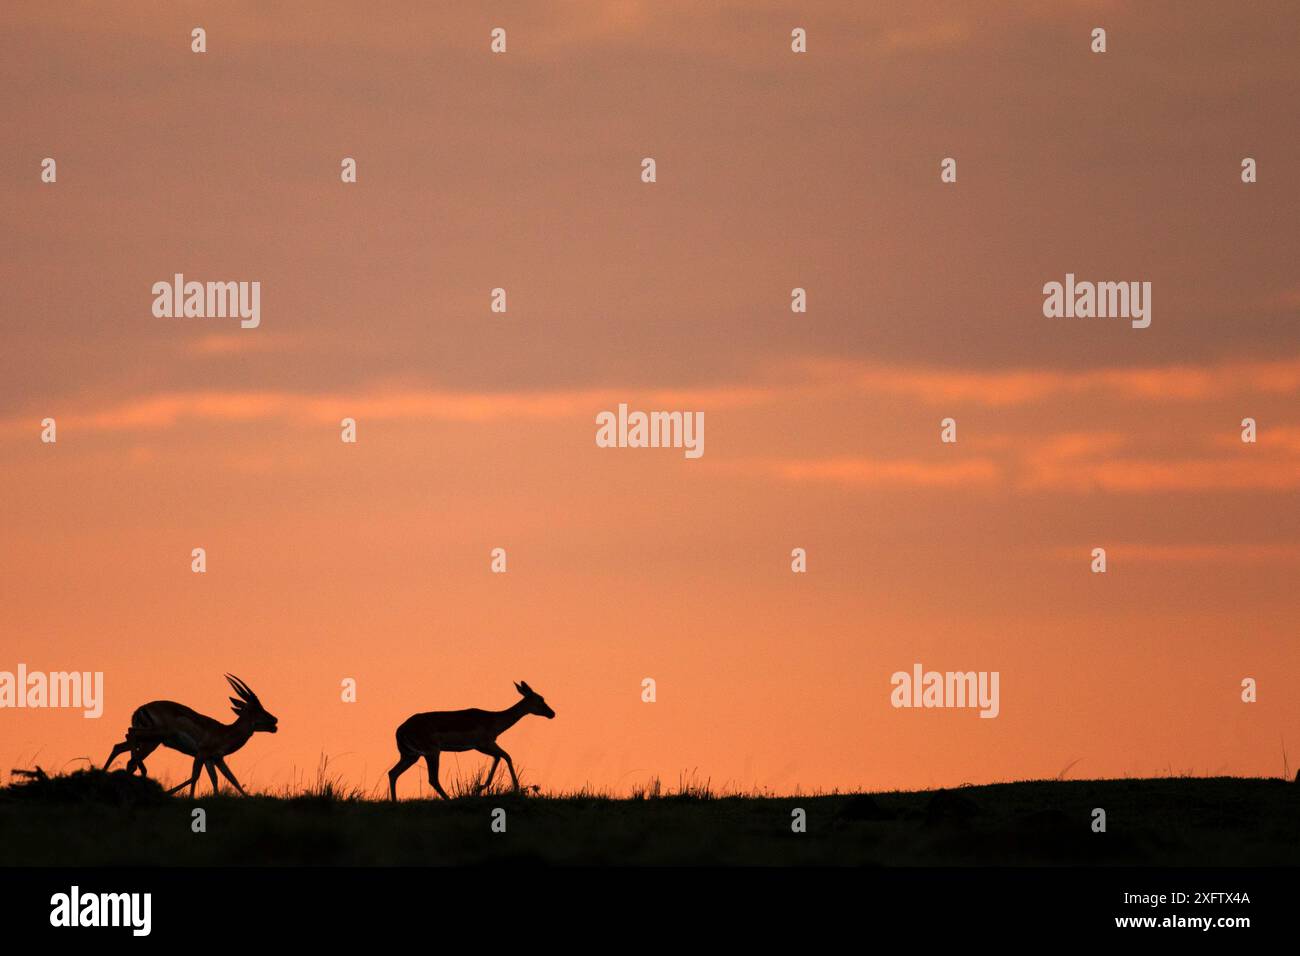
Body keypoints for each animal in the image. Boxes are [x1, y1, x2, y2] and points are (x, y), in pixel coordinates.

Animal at [104, 676, 279, 796]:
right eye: (257, 709)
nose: (275, 720)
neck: (224, 732)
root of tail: (140, 709)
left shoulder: (214, 759)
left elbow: (228, 779)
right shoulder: (201, 754)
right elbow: (195, 777)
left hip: (150, 741)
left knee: (120, 746)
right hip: (154, 738)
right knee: (130, 736)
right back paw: (141, 770)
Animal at [384, 681, 548, 801]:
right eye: (540, 699)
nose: (551, 713)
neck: (494, 720)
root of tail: (400, 731)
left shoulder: (483, 746)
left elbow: (499, 757)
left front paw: (481, 787)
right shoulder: (484, 744)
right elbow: (506, 756)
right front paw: (516, 788)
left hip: (411, 756)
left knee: (393, 773)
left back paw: (395, 801)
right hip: (431, 752)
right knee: (432, 779)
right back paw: (449, 800)